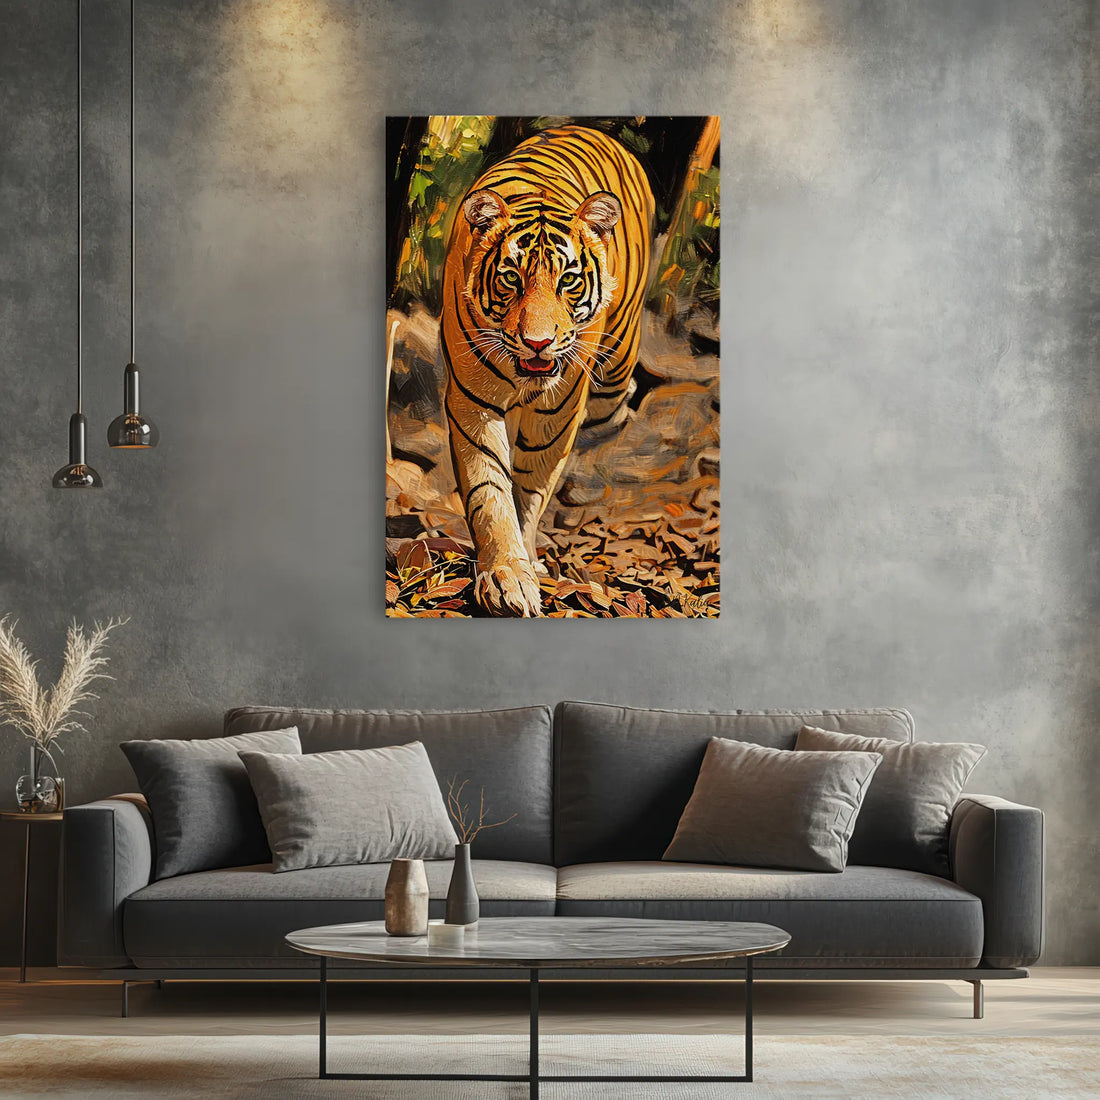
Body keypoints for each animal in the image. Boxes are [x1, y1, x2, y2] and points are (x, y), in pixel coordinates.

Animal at [441, 125, 655, 617]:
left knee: (615, 408)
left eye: (568, 280)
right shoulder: (472, 402)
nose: (537, 342)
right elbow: (489, 489)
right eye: (511, 279)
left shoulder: (558, 409)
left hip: (615, 369)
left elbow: (530, 486)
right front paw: (506, 575)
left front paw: (525, 559)